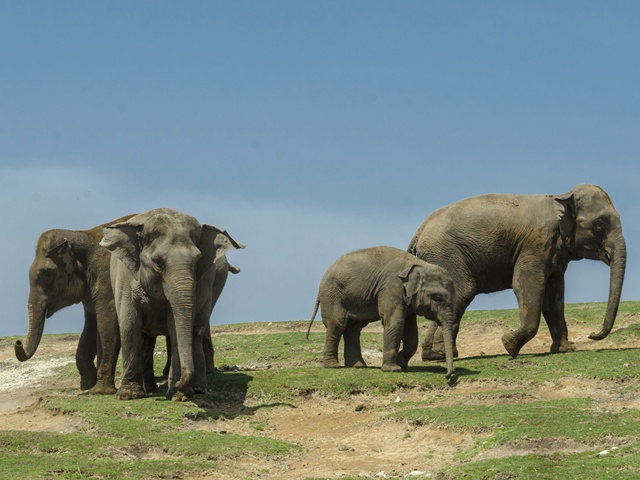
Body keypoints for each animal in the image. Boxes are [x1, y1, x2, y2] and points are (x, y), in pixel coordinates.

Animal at [14, 214, 136, 394]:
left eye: (46, 274)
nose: (18, 342)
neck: (81, 234)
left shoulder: (107, 280)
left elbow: (107, 323)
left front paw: (99, 392)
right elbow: (90, 327)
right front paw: (87, 386)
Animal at [101, 208, 244, 400]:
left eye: (198, 261)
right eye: (157, 261)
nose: (179, 384)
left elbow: (175, 325)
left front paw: (179, 395)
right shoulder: (125, 278)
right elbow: (130, 324)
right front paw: (129, 395)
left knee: (196, 331)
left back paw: (198, 388)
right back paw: (151, 389)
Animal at [304, 248, 456, 378]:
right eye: (438, 298)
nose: (447, 375)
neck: (419, 264)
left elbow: (411, 330)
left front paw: (401, 364)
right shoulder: (391, 288)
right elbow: (395, 321)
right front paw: (393, 369)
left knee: (354, 328)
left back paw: (358, 366)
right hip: (332, 296)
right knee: (338, 324)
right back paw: (333, 366)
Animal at [408, 184, 628, 360]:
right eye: (600, 224)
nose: (592, 334)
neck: (560, 197)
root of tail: (420, 230)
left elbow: (554, 296)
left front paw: (565, 350)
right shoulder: (536, 244)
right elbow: (527, 285)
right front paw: (509, 345)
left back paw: (435, 355)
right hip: (447, 255)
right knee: (463, 292)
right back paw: (441, 354)